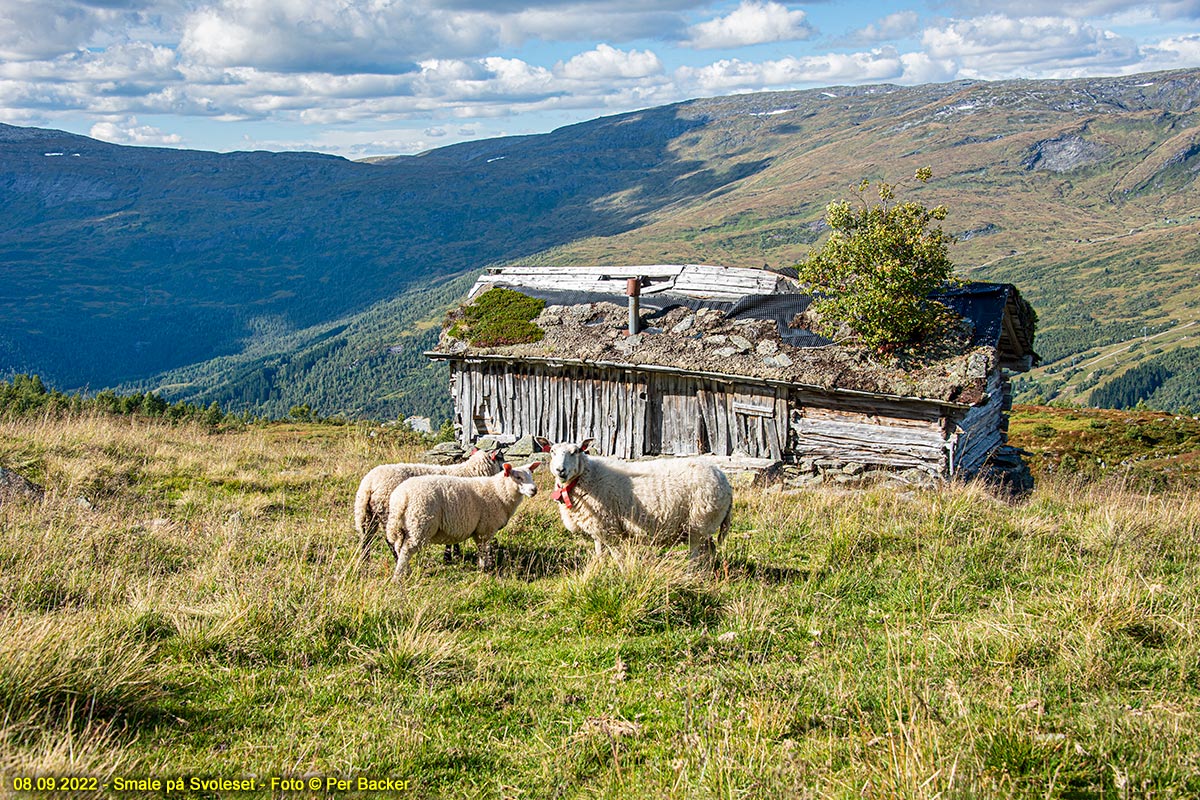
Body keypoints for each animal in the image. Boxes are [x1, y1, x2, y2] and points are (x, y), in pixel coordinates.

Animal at [355, 448, 506, 566]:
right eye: (501, 460)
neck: (470, 472)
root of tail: (368, 484)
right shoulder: (457, 511)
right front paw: (451, 556)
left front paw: (453, 556)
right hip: (388, 512)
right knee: (391, 541)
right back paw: (398, 560)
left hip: (368, 515)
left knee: (366, 540)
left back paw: (365, 564)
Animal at [384, 462, 540, 582]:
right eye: (518, 477)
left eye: (531, 475)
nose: (534, 490)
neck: (498, 491)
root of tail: (400, 498)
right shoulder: (485, 529)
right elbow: (483, 550)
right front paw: (485, 568)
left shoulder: (480, 531)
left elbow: (481, 550)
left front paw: (482, 567)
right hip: (420, 523)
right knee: (407, 550)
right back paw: (398, 577)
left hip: (405, 526)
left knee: (399, 548)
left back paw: (406, 571)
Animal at [549, 441, 734, 566]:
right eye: (552, 452)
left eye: (575, 452)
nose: (560, 470)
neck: (586, 476)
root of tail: (724, 478)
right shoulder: (598, 528)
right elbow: (600, 553)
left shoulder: (609, 527)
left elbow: (617, 556)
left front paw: (622, 574)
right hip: (704, 525)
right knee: (710, 551)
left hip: (699, 523)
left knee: (697, 553)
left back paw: (693, 573)